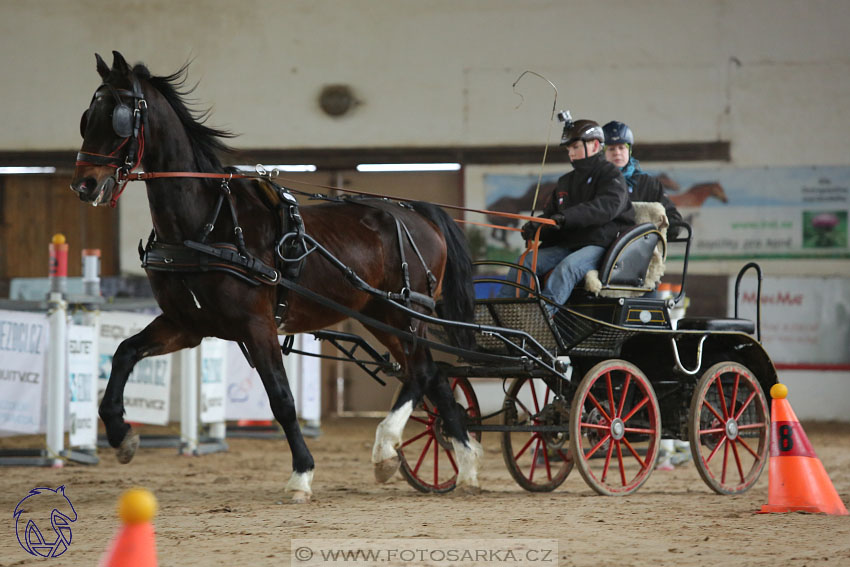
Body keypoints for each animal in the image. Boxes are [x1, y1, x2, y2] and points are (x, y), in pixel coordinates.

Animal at [69, 52, 480, 502]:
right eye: (87, 117)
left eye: (119, 118)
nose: (84, 185)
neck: (206, 225)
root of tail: (417, 211)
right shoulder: (187, 324)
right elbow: (124, 352)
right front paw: (120, 432)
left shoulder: (257, 324)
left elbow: (281, 399)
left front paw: (302, 474)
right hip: (380, 314)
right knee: (432, 375)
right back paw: (464, 465)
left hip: (403, 312)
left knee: (421, 372)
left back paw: (387, 448)